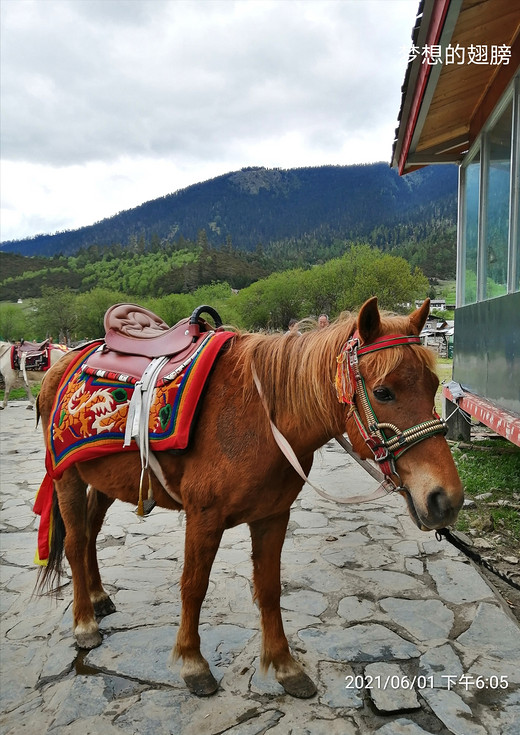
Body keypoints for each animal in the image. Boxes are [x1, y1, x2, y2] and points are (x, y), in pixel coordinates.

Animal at [34, 300, 462, 700]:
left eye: (433, 387)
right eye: (383, 392)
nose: (446, 499)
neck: (260, 418)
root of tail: (61, 364)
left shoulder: (273, 516)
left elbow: (270, 589)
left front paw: (284, 665)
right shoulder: (204, 517)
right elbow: (194, 586)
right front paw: (193, 662)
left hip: (103, 481)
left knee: (90, 532)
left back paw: (98, 596)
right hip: (67, 477)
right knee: (75, 543)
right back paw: (85, 623)